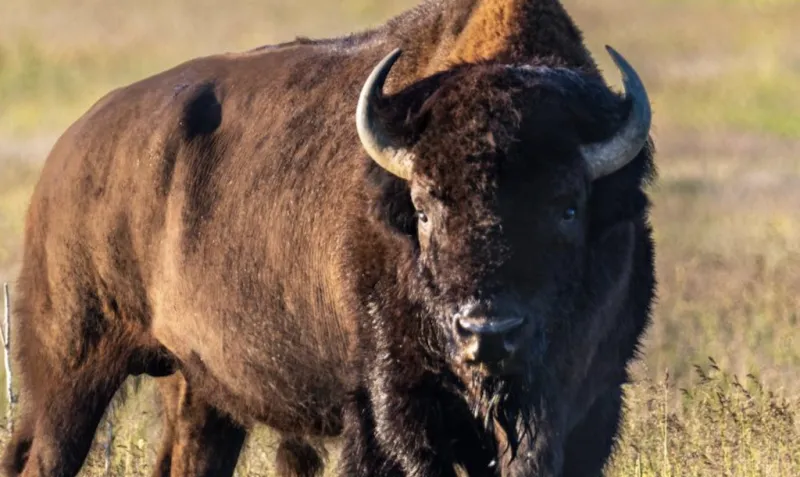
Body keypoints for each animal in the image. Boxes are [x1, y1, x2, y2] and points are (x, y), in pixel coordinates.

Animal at [3, 0, 656, 476]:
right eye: (423, 210)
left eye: (568, 207)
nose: (486, 333)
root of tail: (69, 153)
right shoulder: (391, 409)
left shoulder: (589, 405)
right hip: (69, 370)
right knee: (43, 454)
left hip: (198, 390)